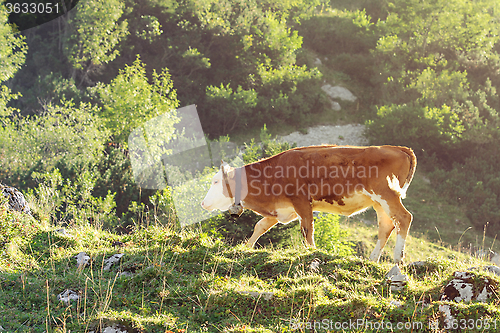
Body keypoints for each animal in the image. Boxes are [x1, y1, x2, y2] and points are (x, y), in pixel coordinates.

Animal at [201, 144, 416, 264]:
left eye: (215, 181)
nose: (203, 203)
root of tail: (399, 148)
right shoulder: (281, 208)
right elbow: (259, 226)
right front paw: (246, 247)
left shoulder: (301, 201)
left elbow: (307, 230)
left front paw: (312, 252)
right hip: (378, 202)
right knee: (386, 225)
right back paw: (372, 259)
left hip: (387, 194)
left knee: (404, 218)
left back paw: (397, 258)